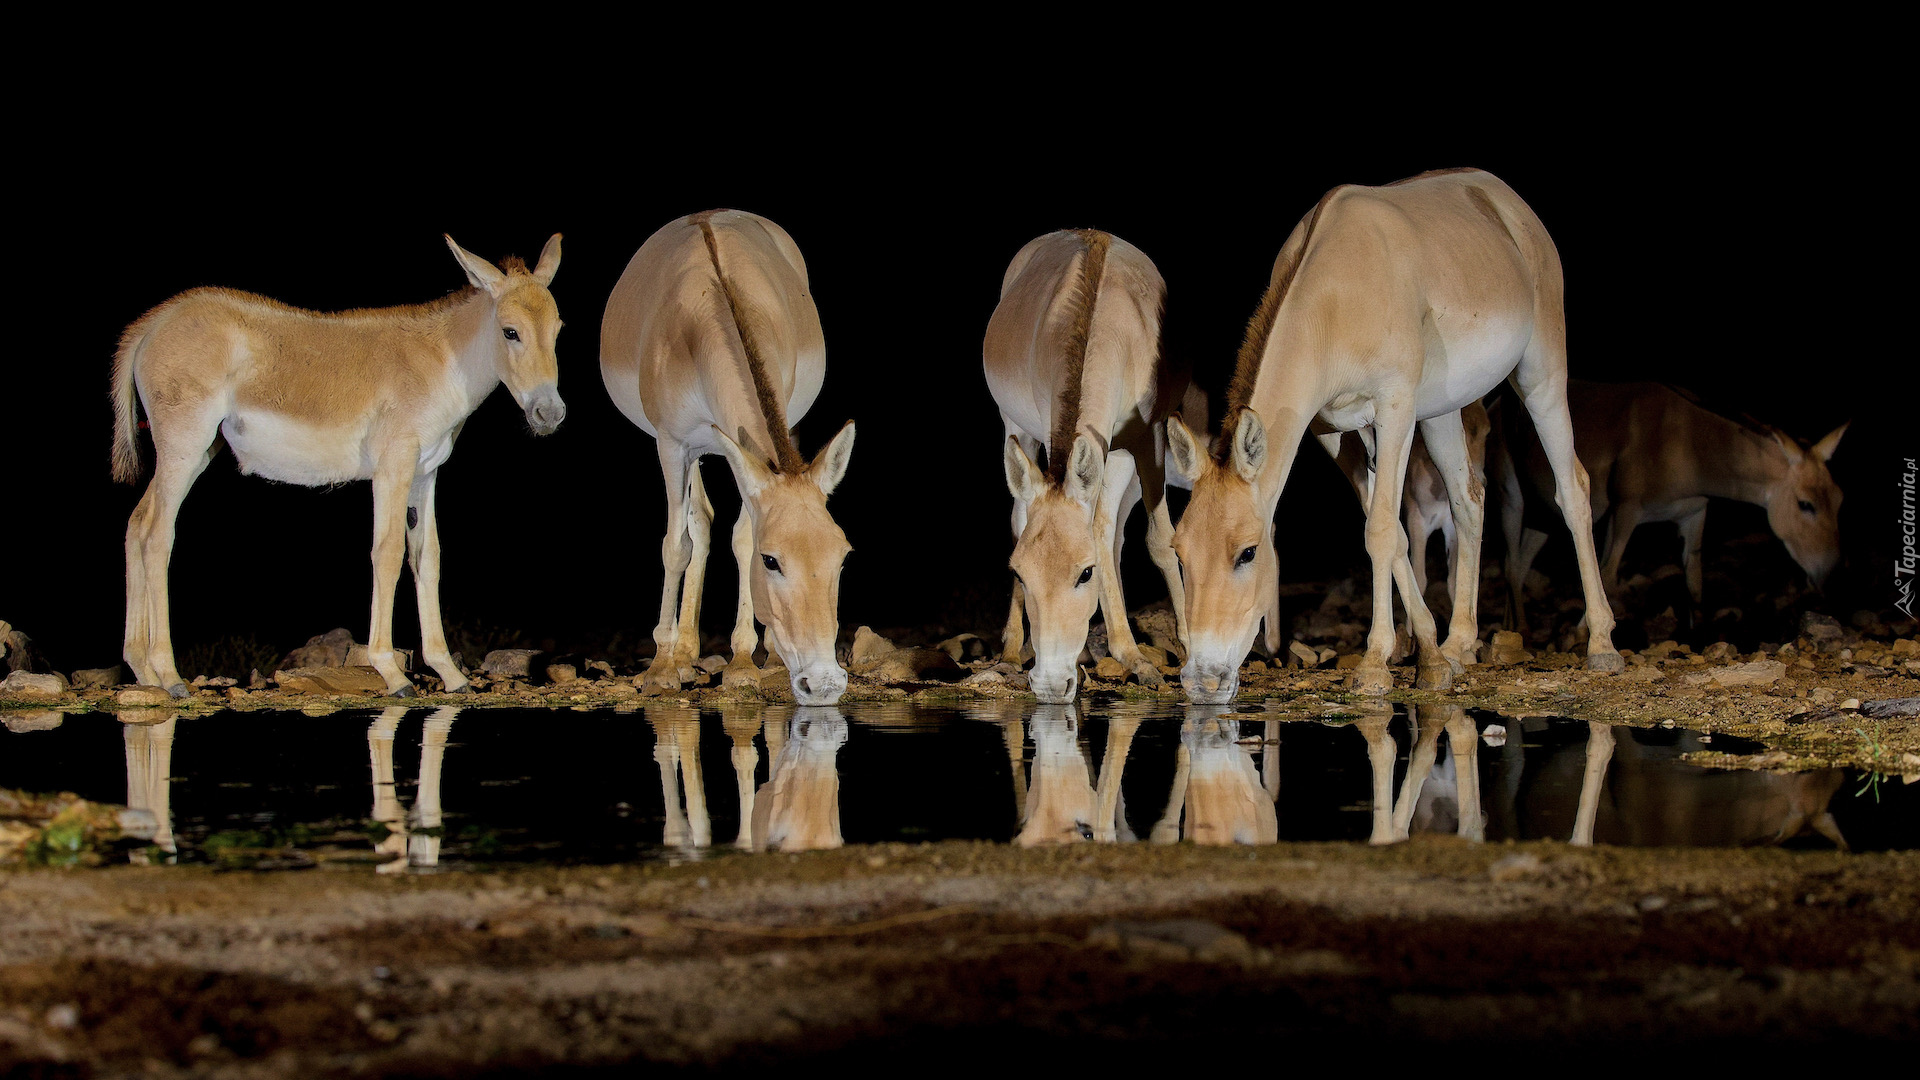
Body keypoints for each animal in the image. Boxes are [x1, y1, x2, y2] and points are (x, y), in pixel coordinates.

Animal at [111, 233, 560, 699]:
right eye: (511, 332)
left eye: (558, 330)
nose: (551, 413)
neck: (443, 361)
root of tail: (153, 323)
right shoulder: (393, 467)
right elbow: (387, 553)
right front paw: (392, 673)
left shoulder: (425, 472)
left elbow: (427, 557)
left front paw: (449, 674)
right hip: (182, 448)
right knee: (157, 537)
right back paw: (169, 675)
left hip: (193, 454)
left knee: (136, 523)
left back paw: (144, 672)